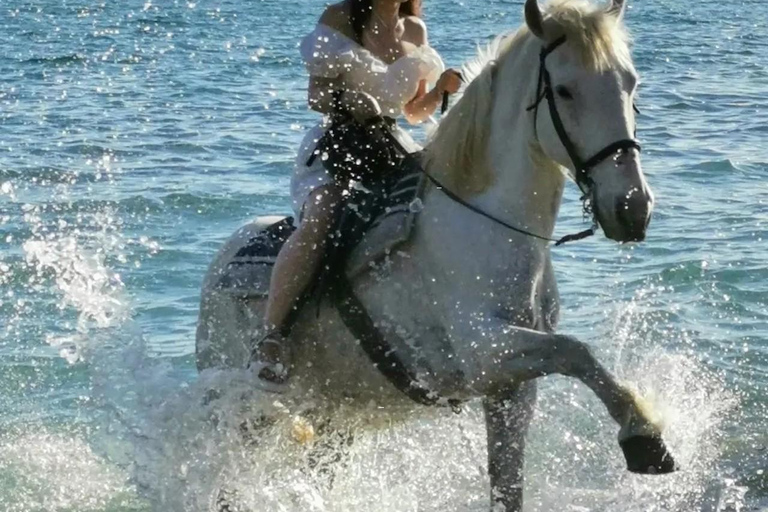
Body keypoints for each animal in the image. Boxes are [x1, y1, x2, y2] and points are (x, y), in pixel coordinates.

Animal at [200, 2, 680, 510]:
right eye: (565, 90)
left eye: (630, 83)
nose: (633, 208)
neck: (486, 223)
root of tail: (217, 266)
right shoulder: (486, 352)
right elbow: (578, 351)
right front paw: (644, 436)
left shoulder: (511, 388)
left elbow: (509, 482)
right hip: (241, 414)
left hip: (336, 416)